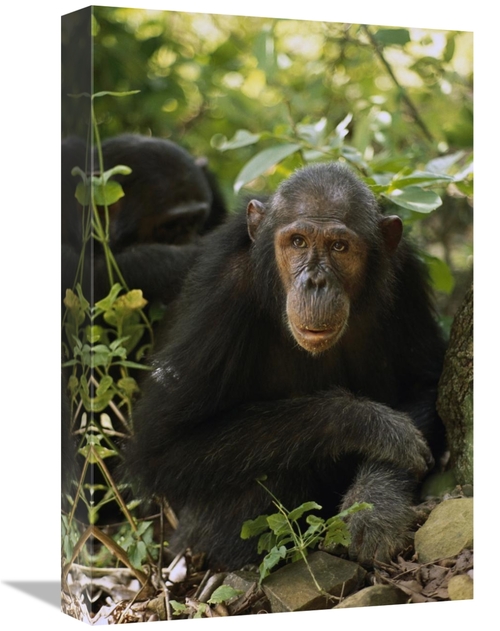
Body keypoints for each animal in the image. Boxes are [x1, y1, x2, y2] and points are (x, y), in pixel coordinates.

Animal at [127, 162, 448, 568]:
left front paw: (376, 505)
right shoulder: (219, 297)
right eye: (298, 242)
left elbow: (425, 383)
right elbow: (163, 448)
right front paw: (370, 425)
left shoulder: (405, 273)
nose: (315, 281)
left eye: (339, 247)